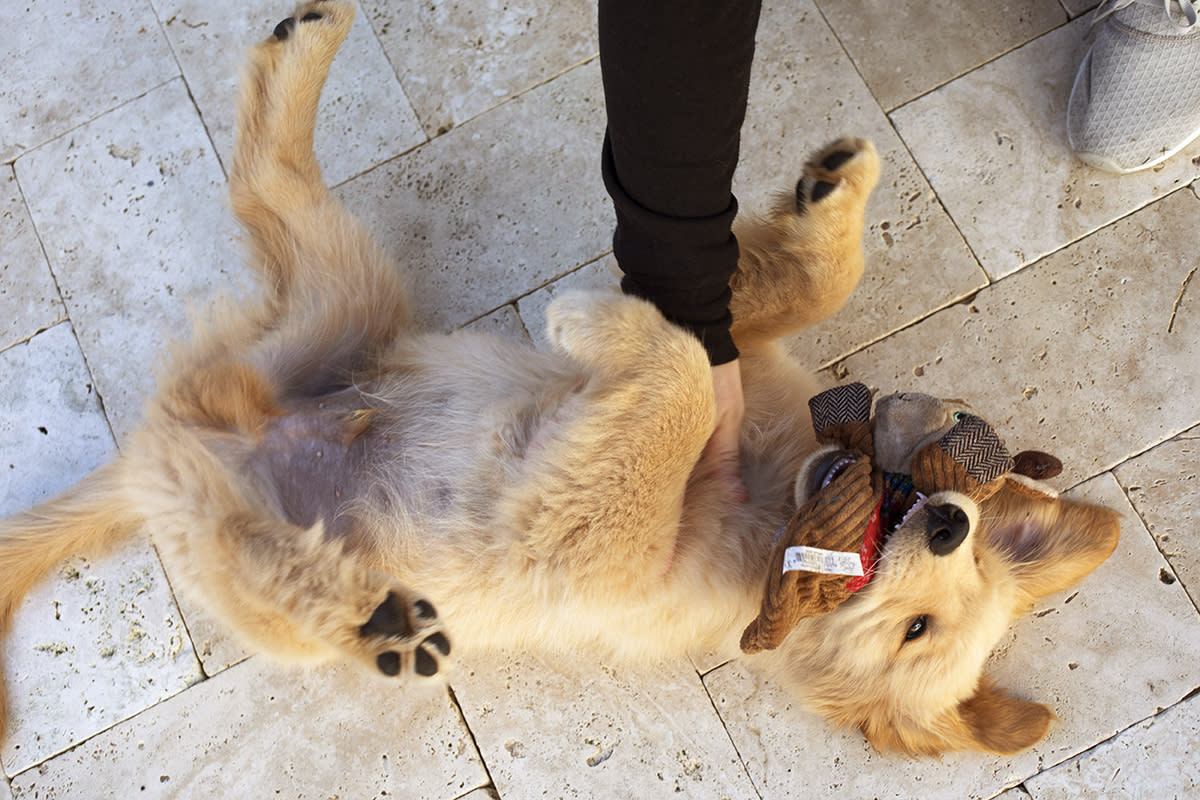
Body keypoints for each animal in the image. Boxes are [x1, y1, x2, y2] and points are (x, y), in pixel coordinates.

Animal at [0, 0, 1118, 758]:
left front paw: (592, 323)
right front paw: (829, 203)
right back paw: (302, 41)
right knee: (265, 184)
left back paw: (374, 621)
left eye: (920, 626)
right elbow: (755, 302)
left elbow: (673, 383)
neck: (777, 494)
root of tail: (173, 437)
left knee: (253, 552)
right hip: (341, 313)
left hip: (253, 496)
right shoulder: (743, 357)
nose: (948, 521)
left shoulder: (591, 543)